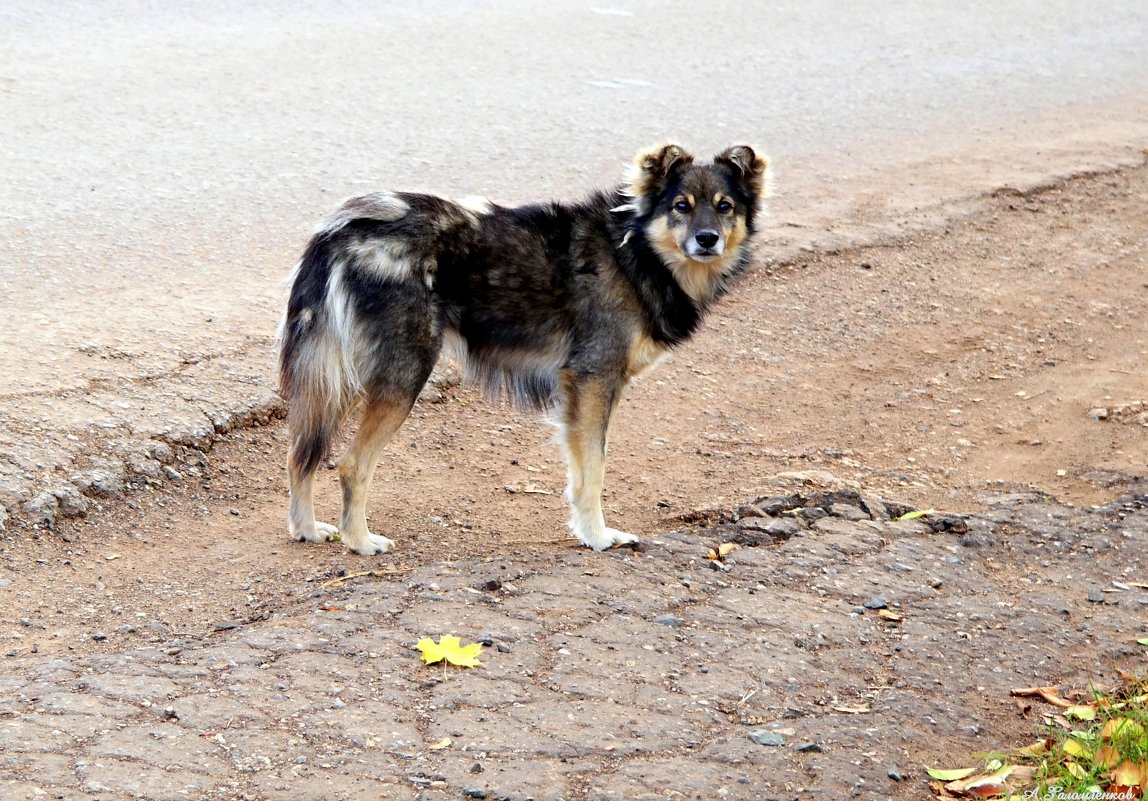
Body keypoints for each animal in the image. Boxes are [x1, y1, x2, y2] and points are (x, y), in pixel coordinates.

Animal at [277, 143, 771, 553]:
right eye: (680, 206)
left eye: (724, 207)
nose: (707, 239)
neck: (633, 252)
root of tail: (343, 232)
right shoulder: (593, 382)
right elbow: (593, 472)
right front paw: (597, 536)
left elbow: (580, 472)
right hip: (400, 378)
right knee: (350, 465)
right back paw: (359, 541)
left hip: (337, 378)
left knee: (301, 454)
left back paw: (307, 529)